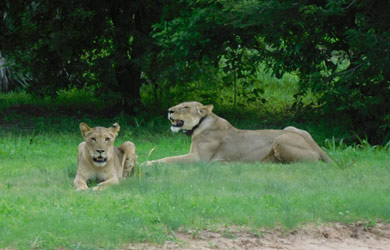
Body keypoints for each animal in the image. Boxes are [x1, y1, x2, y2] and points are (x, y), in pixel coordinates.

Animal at [146, 100, 330, 165]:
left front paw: (148, 163)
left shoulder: (199, 159)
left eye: (185, 107)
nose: (169, 110)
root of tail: (317, 147)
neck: (199, 126)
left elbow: (169, 159)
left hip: (280, 139)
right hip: (290, 128)